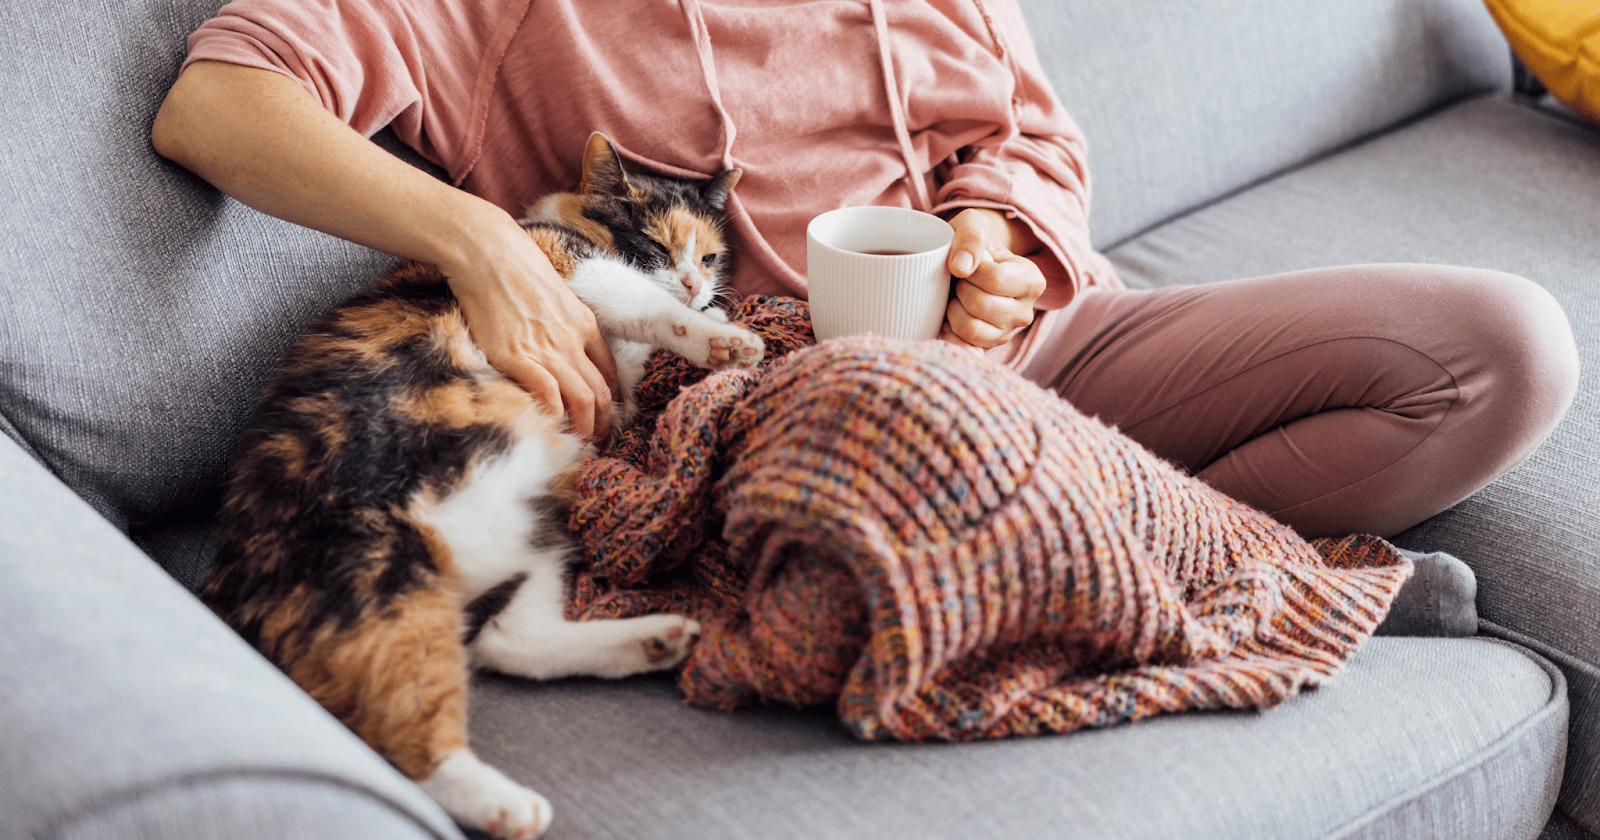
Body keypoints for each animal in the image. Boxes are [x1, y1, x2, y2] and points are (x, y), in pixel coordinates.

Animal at [203, 134, 764, 832]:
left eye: (711, 256)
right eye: (658, 247)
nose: (695, 283)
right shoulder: (559, 266)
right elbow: (644, 302)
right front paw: (727, 342)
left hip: (538, 522)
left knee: (509, 640)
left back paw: (654, 640)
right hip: (380, 574)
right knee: (408, 733)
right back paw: (507, 806)